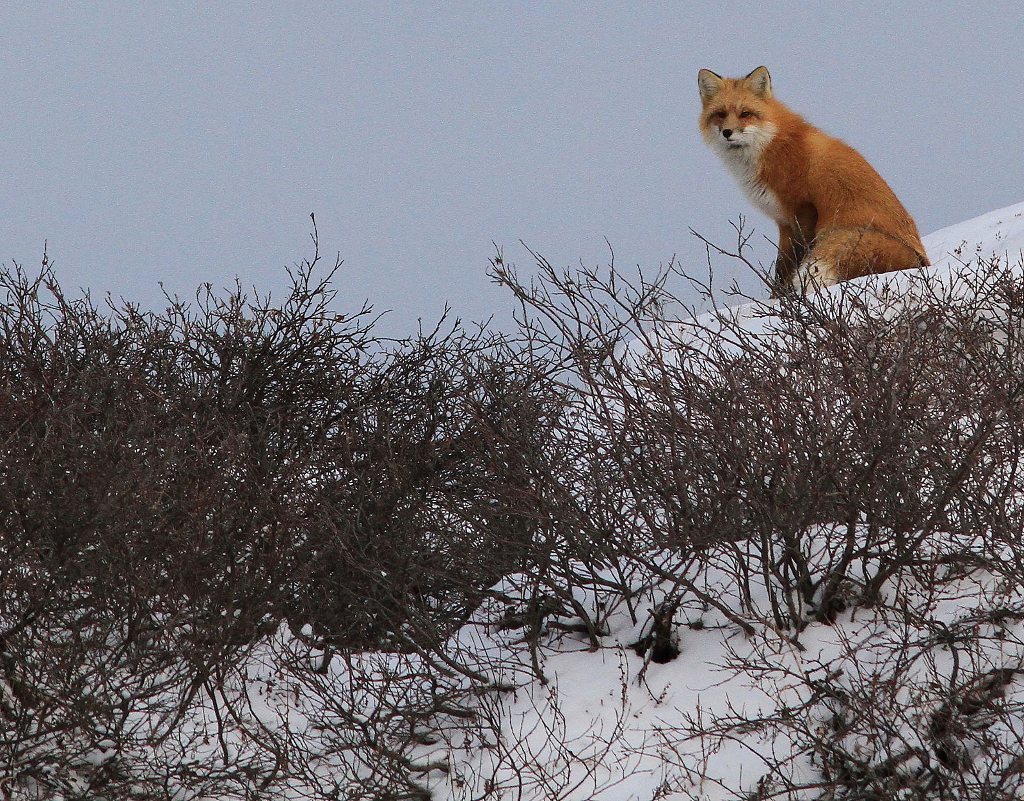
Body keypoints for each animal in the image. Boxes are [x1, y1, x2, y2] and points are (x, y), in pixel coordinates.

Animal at [696, 66, 929, 294]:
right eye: (720, 114)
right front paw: (779, 298)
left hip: (832, 238)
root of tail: (921, 264)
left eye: (745, 113)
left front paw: (783, 299)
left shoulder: (803, 209)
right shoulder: (784, 221)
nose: (727, 132)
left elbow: (791, 263)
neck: (770, 145)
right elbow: (782, 266)